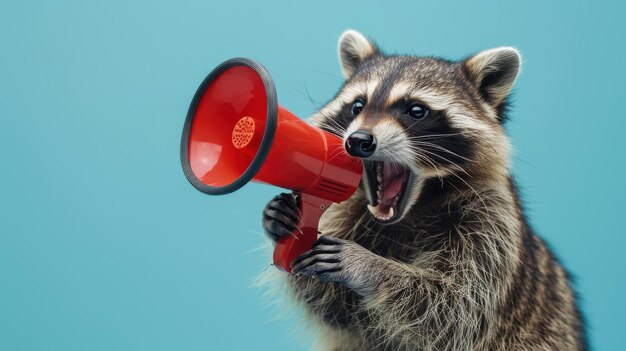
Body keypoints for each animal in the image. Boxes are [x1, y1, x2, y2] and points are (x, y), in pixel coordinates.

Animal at [258, 31, 584, 351]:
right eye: (357, 106)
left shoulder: (492, 221)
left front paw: (370, 267)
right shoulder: (349, 209)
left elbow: (456, 309)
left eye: (415, 110)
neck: (413, 209)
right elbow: (337, 309)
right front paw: (281, 219)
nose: (358, 140)